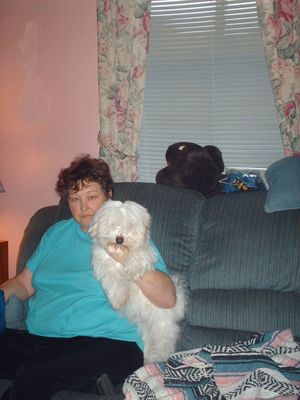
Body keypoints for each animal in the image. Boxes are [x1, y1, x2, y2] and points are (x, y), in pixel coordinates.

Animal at [89, 199, 186, 362]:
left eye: (130, 225)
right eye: (113, 223)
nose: (119, 239)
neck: (120, 253)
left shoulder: (146, 252)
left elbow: (138, 256)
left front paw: (133, 269)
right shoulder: (105, 264)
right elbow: (113, 282)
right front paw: (118, 300)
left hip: (160, 325)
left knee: (164, 341)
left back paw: (156, 358)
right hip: (146, 328)